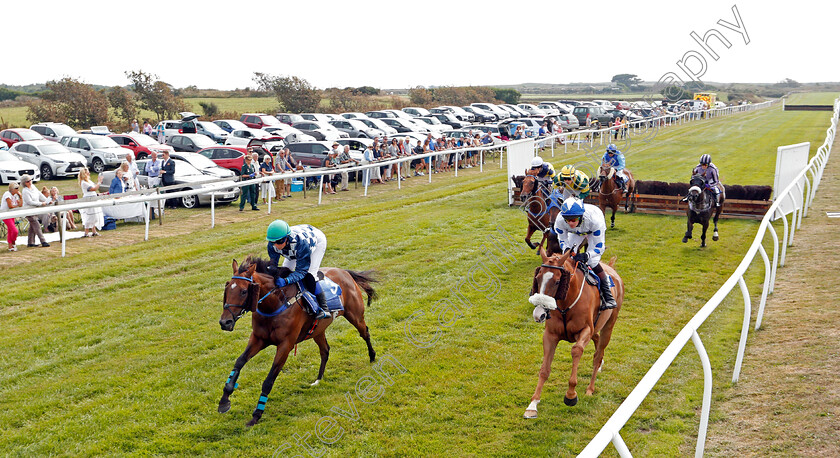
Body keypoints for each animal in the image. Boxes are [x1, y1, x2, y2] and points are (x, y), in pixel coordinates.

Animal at [218, 256, 376, 428]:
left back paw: (372, 357)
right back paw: (318, 379)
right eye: (227, 289)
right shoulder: (258, 339)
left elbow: (269, 380)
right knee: (325, 350)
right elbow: (239, 362)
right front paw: (224, 400)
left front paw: (256, 415)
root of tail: (344, 272)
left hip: (355, 315)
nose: (225, 322)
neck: (275, 303)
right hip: (317, 330)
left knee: (365, 333)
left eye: (244, 291)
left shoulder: (285, 345)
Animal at [524, 247, 624, 418]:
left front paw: (571, 395)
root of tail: (612, 270)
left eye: (557, 281)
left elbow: (576, 350)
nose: (539, 314)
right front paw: (533, 404)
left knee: (598, 353)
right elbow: (544, 370)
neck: (566, 304)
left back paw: (590, 388)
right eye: (537, 278)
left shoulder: (585, 330)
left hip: (609, 325)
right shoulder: (550, 335)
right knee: (597, 340)